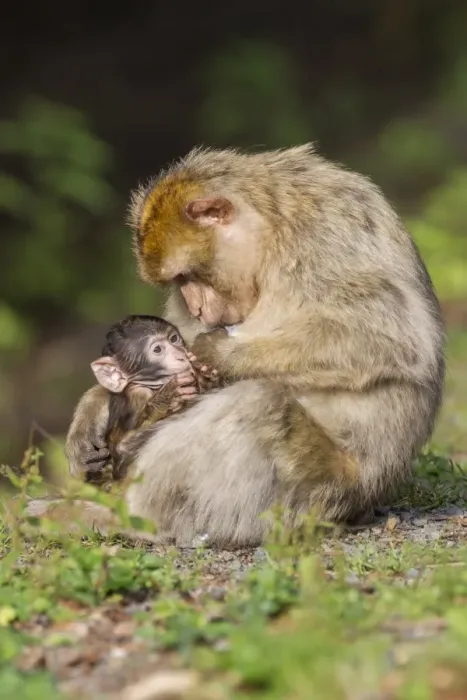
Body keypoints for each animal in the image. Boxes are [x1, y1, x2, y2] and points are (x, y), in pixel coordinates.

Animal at [34, 144, 446, 548]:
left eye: (187, 275)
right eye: (178, 283)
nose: (197, 307)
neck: (273, 233)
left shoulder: (329, 237)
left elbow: (384, 338)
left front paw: (216, 355)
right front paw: (91, 412)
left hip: (319, 494)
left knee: (260, 402)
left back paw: (134, 519)